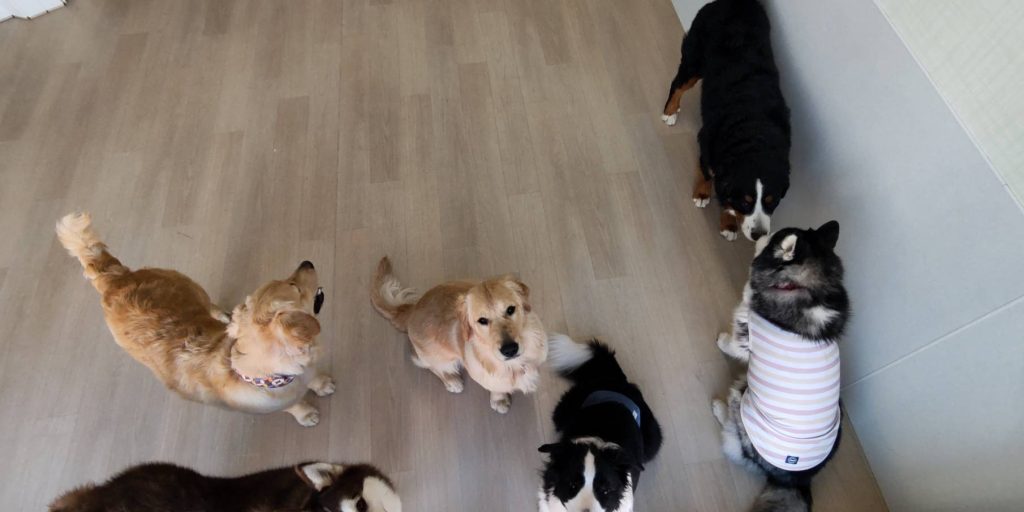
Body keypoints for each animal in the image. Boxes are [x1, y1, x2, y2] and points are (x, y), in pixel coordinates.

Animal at [56, 212, 333, 426]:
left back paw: (224, 316)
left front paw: (322, 384)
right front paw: (306, 414)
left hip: (192, 287)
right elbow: (294, 405)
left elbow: (315, 378)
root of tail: (113, 280)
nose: (307, 261)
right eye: (293, 286)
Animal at [370, 256, 546, 414]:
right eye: (482, 320)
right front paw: (499, 400)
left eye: (510, 309)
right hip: (437, 357)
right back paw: (452, 381)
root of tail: (412, 309)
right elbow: (496, 388)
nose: (510, 350)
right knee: (432, 367)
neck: (515, 364)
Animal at [661, 0, 791, 242]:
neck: (755, 132)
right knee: (679, 84)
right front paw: (702, 194)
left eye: (772, 202)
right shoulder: (706, 143)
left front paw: (729, 225)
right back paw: (670, 111)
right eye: (746, 202)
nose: (759, 234)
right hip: (695, 58)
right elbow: (707, 174)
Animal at [712, 221, 849, 511]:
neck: (808, 289)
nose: (761, 233)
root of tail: (798, 479)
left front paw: (722, 341)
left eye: (773, 238)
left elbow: (732, 345)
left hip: (743, 398)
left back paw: (718, 408)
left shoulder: (746, 332)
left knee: (732, 433)